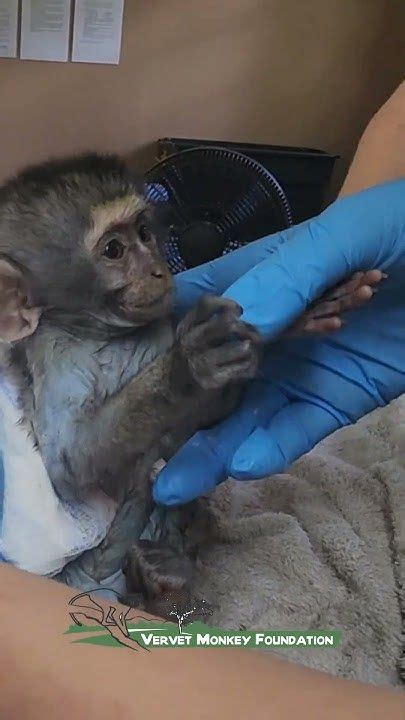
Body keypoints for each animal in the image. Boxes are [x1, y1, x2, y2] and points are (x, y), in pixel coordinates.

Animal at [0, 152, 383, 615]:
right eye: (114, 250)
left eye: (145, 234)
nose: (157, 270)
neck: (106, 334)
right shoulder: (57, 352)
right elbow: (69, 467)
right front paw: (187, 366)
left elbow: (193, 427)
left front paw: (304, 313)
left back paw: (169, 582)